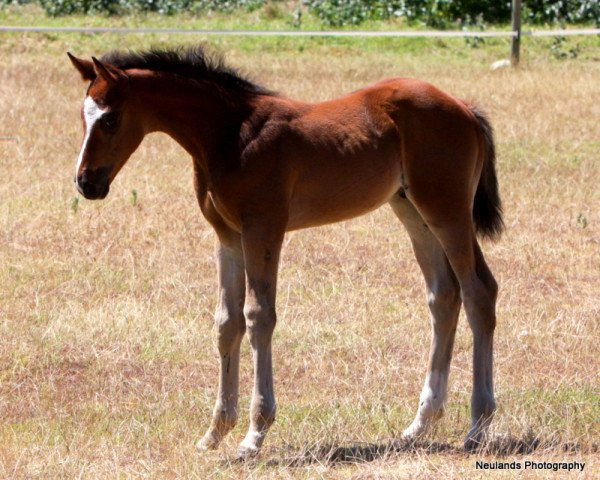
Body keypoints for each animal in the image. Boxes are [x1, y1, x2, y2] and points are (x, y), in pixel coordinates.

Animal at [68, 46, 504, 458]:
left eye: (109, 119)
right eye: (82, 117)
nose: (86, 183)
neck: (231, 135)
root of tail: (464, 107)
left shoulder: (264, 230)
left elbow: (258, 317)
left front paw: (254, 435)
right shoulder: (228, 239)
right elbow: (226, 323)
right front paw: (215, 433)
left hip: (447, 210)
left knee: (479, 292)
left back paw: (477, 427)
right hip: (412, 211)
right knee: (443, 296)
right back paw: (420, 424)